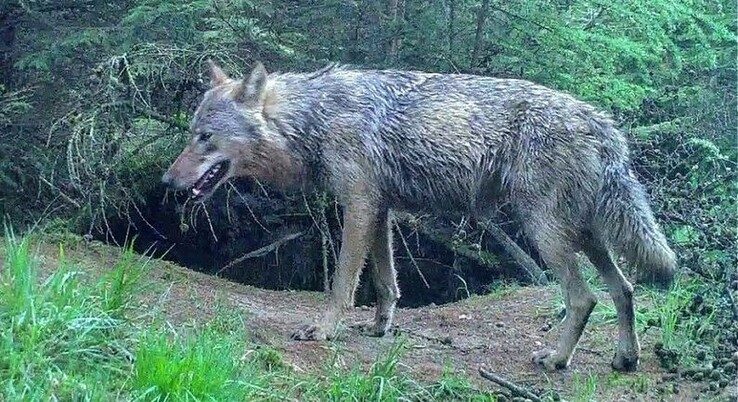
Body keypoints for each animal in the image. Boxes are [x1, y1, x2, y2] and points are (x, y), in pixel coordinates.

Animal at [162, 60, 676, 372]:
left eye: (205, 137)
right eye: (191, 133)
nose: (167, 183)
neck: (316, 119)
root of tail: (604, 125)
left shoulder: (358, 206)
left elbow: (342, 283)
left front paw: (324, 330)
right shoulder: (381, 209)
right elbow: (386, 283)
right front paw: (380, 327)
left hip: (545, 233)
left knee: (584, 298)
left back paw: (555, 359)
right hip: (585, 235)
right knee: (625, 289)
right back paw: (626, 359)